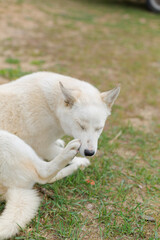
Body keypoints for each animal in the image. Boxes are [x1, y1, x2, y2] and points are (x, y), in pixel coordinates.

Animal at [0, 72, 120, 239]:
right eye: (81, 125)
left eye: (99, 128)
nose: (90, 153)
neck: (51, 105)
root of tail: (11, 190)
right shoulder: (43, 147)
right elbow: (59, 153)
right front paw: (78, 157)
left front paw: (63, 145)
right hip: (7, 140)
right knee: (43, 175)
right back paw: (72, 156)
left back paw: (75, 166)